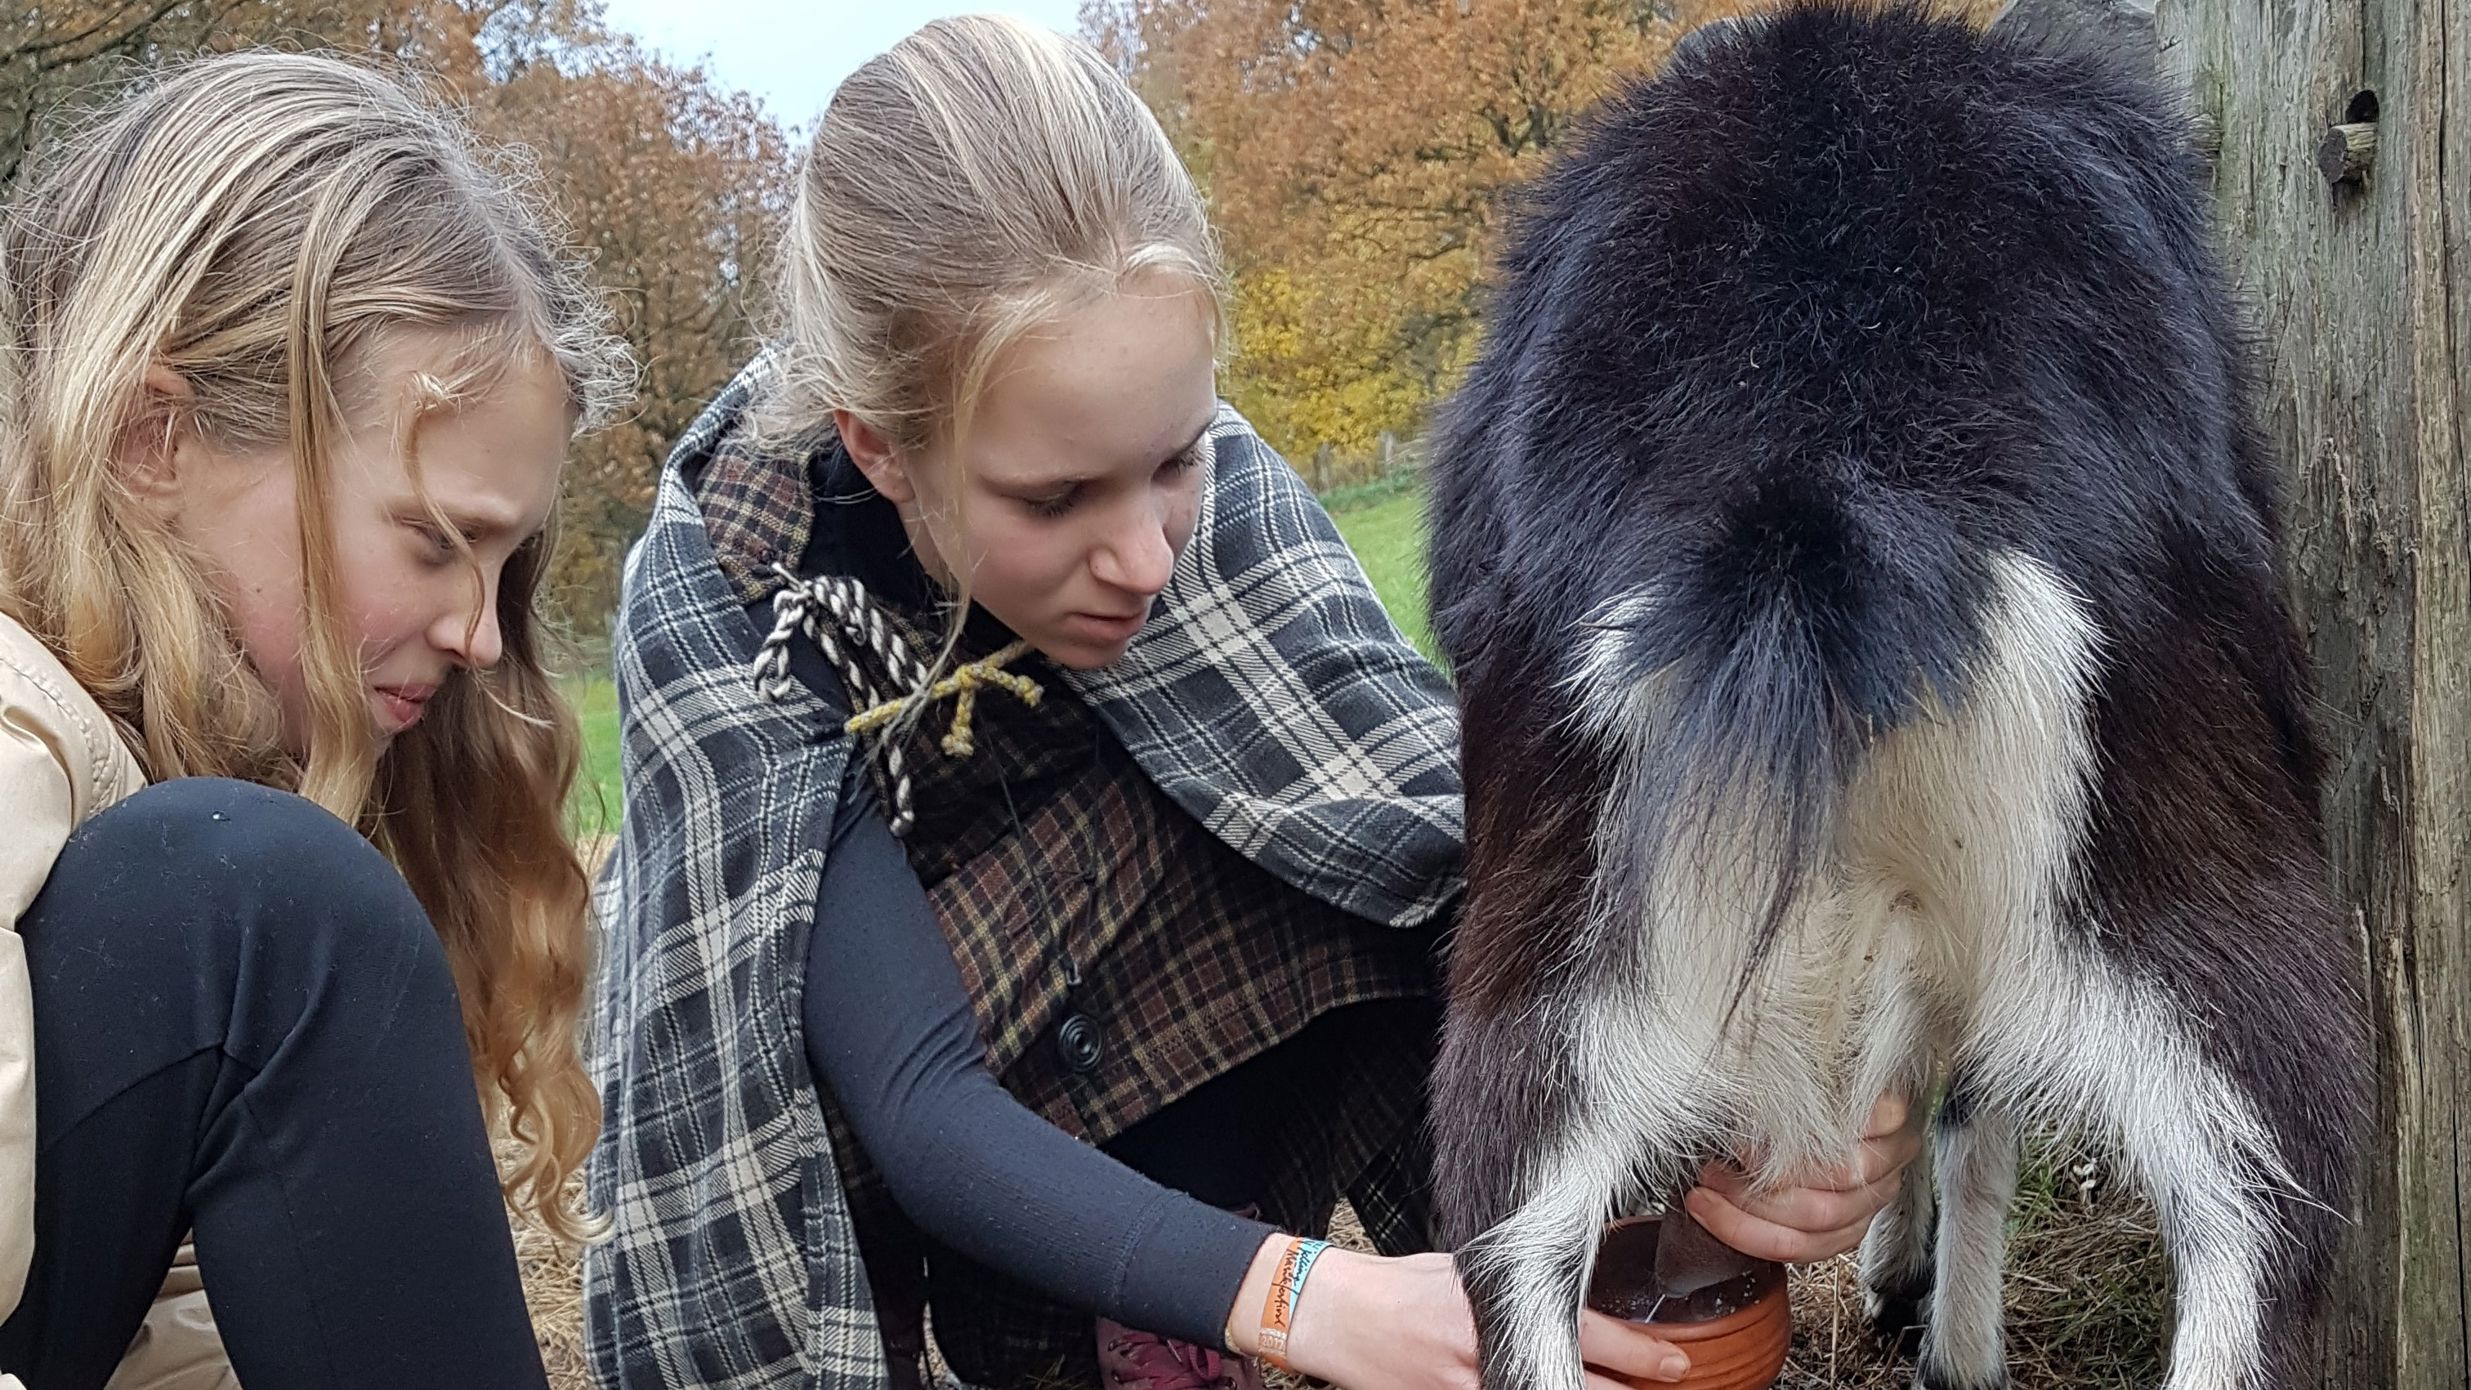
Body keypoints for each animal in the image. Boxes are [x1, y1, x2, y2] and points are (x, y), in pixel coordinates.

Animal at [1423, 7, 2366, 1390]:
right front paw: (1935, 1318)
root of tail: (1815, 458)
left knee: (1508, 1244)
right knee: (2267, 1222)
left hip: (1539, 969)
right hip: (2208, 892)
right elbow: (1968, 1109)